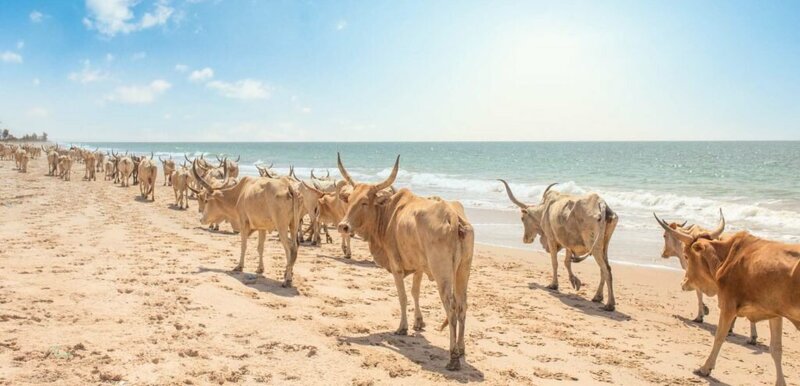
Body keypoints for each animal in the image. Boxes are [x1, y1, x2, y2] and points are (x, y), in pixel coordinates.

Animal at [500, 180, 620, 310]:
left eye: (522, 218)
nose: (525, 239)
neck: (544, 209)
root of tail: (601, 203)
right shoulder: (568, 243)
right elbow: (567, 262)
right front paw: (574, 281)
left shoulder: (551, 238)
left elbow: (555, 263)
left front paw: (554, 285)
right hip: (604, 244)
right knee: (604, 268)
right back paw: (598, 297)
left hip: (594, 245)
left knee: (606, 269)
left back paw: (609, 304)